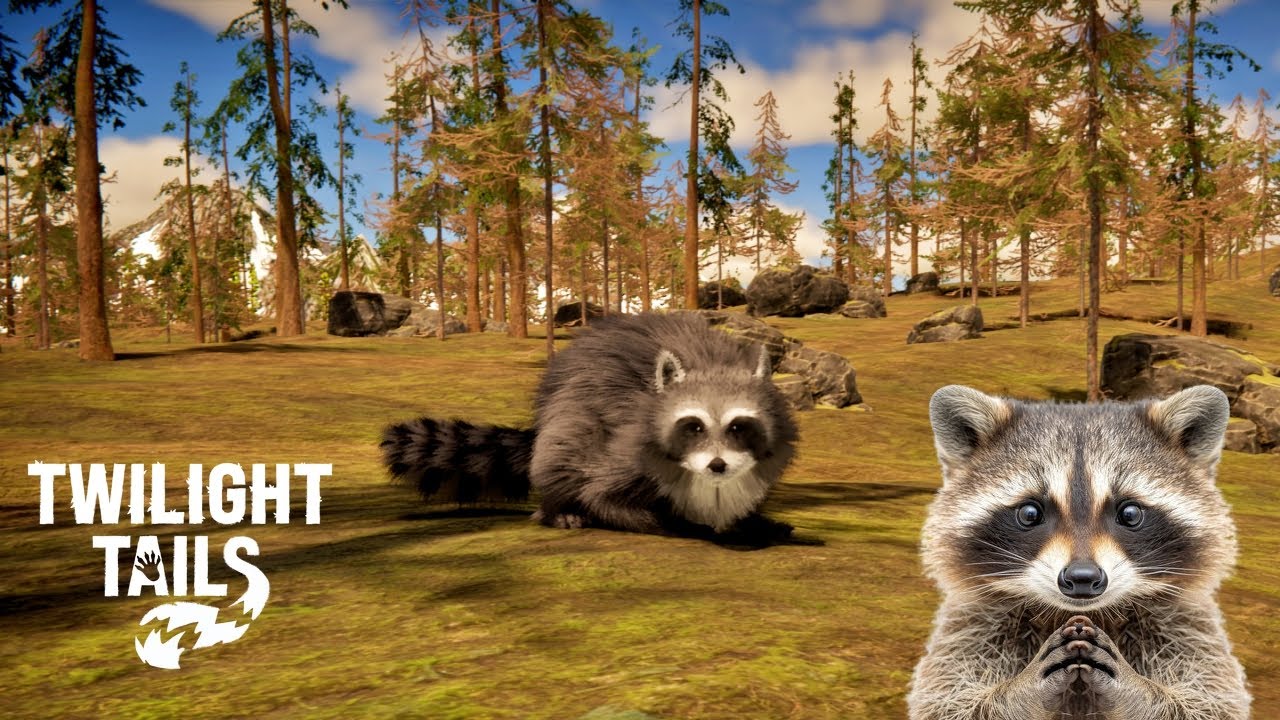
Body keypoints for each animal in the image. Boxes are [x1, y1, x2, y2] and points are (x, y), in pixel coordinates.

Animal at [381, 312, 798, 542]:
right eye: (693, 427)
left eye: (739, 427)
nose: (717, 466)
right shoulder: (628, 451)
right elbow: (603, 496)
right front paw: (675, 522)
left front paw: (748, 520)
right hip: (571, 413)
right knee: (564, 448)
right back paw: (555, 508)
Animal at [907, 385, 1249, 720]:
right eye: (1030, 513)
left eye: (1130, 514)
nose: (1082, 577)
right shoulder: (973, 625)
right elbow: (947, 703)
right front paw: (1020, 691)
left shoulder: (1185, 625)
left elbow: (1211, 704)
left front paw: (1136, 690)